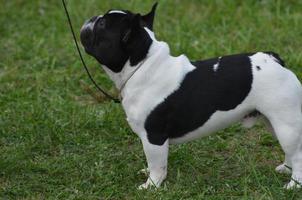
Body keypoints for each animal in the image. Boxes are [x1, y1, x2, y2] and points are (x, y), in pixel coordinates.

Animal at [80, 3, 302, 189]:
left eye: (102, 24)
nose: (91, 17)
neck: (142, 65)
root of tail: (274, 60)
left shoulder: (153, 137)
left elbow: (157, 164)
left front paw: (152, 185)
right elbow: (154, 163)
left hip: (286, 123)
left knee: (297, 153)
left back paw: (294, 184)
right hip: (273, 121)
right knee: (290, 150)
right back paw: (285, 169)